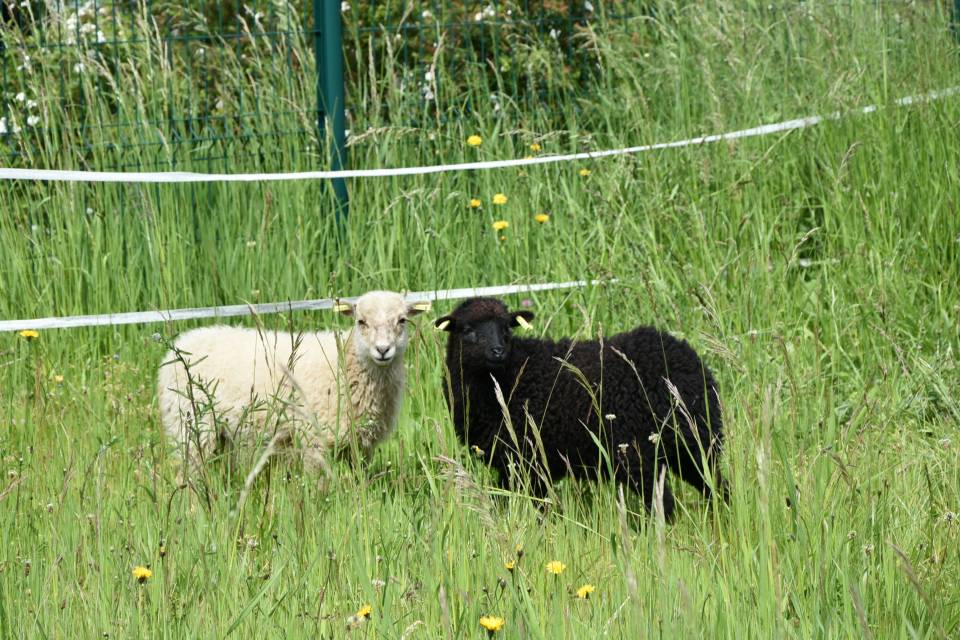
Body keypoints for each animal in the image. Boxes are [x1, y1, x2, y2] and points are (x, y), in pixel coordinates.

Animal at [159, 288, 430, 480]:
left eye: (402, 320)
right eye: (361, 322)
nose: (383, 350)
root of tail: (183, 342)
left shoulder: (361, 445)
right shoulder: (313, 438)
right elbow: (318, 486)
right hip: (189, 425)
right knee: (187, 475)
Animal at [434, 296, 720, 520]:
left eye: (507, 328)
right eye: (467, 329)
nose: (497, 351)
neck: (508, 376)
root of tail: (685, 353)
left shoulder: (528, 459)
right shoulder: (515, 464)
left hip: (652, 450)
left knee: (665, 502)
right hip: (689, 446)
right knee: (715, 487)